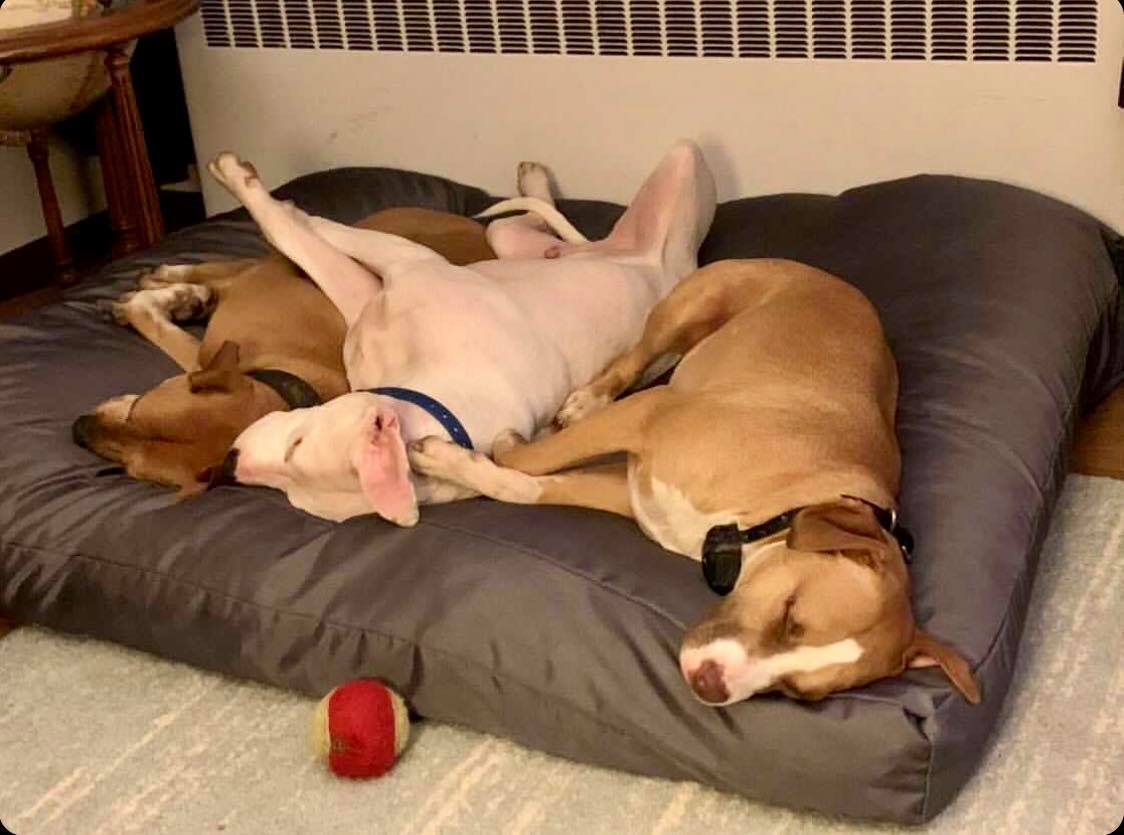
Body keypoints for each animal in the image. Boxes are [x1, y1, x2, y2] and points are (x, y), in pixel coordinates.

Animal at [70, 207, 492, 496]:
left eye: (132, 470)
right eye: (138, 410)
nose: (76, 430)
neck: (277, 373)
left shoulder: (201, 355)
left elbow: (158, 325)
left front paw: (148, 305)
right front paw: (174, 295)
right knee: (232, 265)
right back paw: (173, 282)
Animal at [206, 142, 714, 521]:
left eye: (295, 446)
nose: (229, 462)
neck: (435, 402)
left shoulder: (406, 260)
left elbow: (305, 230)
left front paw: (249, 183)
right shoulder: (367, 300)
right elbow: (302, 243)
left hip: (684, 168)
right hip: (513, 242)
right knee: (524, 223)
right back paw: (534, 185)